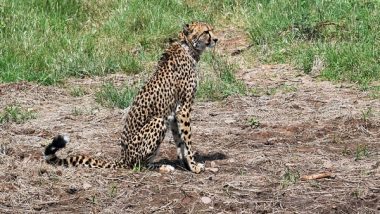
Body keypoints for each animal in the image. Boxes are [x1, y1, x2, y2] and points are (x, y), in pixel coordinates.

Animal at [43, 20, 220, 173]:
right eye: (206, 31)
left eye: (211, 29)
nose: (216, 39)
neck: (187, 47)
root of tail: (122, 158)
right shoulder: (184, 108)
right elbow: (187, 140)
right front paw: (194, 166)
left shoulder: (175, 112)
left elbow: (180, 141)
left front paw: (185, 164)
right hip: (157, 121)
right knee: (138, 165)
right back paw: (162, 167)